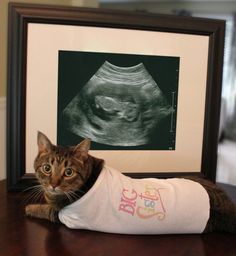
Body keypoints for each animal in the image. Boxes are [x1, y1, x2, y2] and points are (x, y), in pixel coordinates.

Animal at [24, 132, 235, 234]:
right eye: (47, 168)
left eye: (68, 172)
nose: (53, 184)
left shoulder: (66, 216)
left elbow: (45, 209)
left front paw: (29, 208)